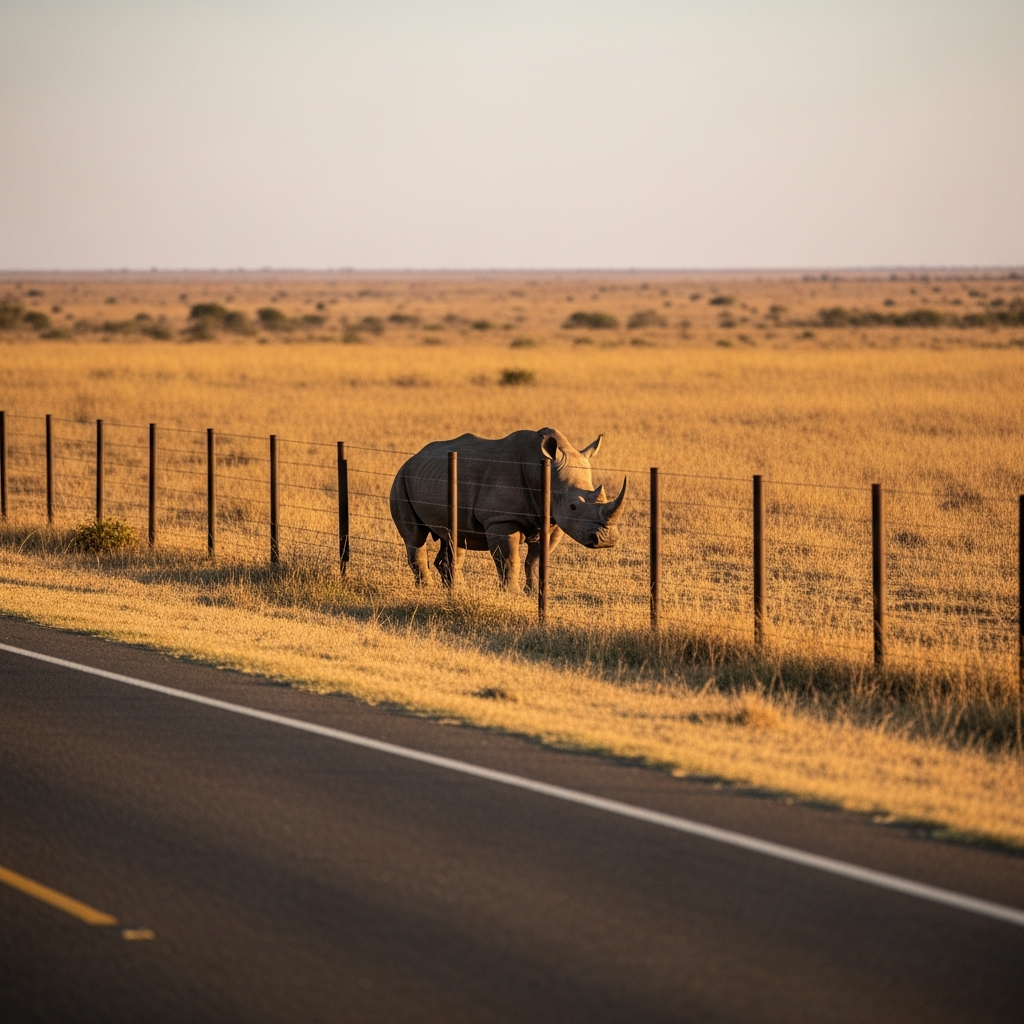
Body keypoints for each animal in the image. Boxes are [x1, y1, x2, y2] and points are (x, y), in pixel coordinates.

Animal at [389, 427, 627, 589]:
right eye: (573, 506)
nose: (607, 540)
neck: (541, 470)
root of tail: (414, 458)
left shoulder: (552, 522)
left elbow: (536, 561)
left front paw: (533, 593)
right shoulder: (501, 519)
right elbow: (509, 561)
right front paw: (513, 594)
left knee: (455, 538)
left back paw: (457, 591)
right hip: (401, 479)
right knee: (415, 538)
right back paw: (427, 591)